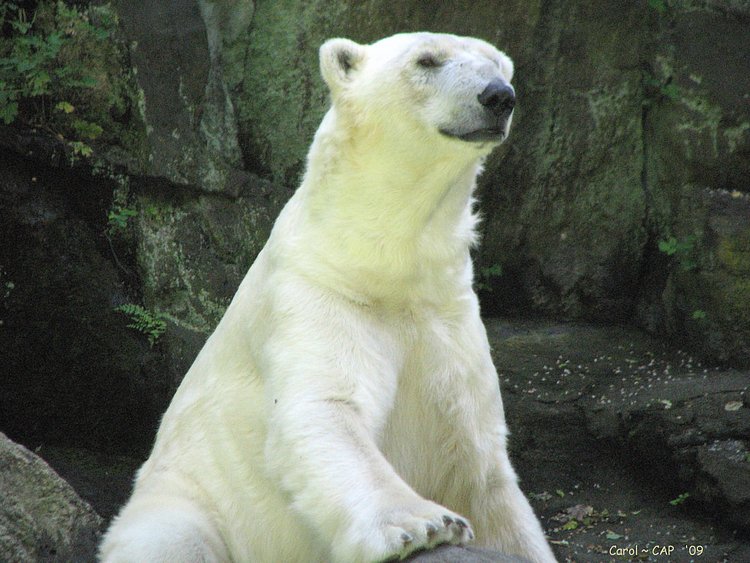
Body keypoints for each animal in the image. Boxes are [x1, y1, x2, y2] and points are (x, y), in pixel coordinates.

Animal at [100, 32, 557, 563]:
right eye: (427, 59)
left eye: (500, 64)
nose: (499, 95)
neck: (383, 262)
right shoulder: (315, 292)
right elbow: (325, 409)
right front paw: (426, 524)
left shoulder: (448, 314)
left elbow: (487, 477)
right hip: (187, 499)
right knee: (171, 539)